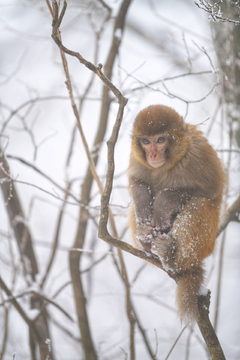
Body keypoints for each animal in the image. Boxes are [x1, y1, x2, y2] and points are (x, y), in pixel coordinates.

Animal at [128, 105, 226, 324]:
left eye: (160, 140)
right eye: (146, 141)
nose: (153, 155)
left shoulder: (199, 155)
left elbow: (211, 190)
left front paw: (163, 203)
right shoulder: (135, 158)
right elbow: (137, 181)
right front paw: (143, 215)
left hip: (204, 247)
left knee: (199, 204)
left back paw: (171, 257)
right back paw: (146, 241)